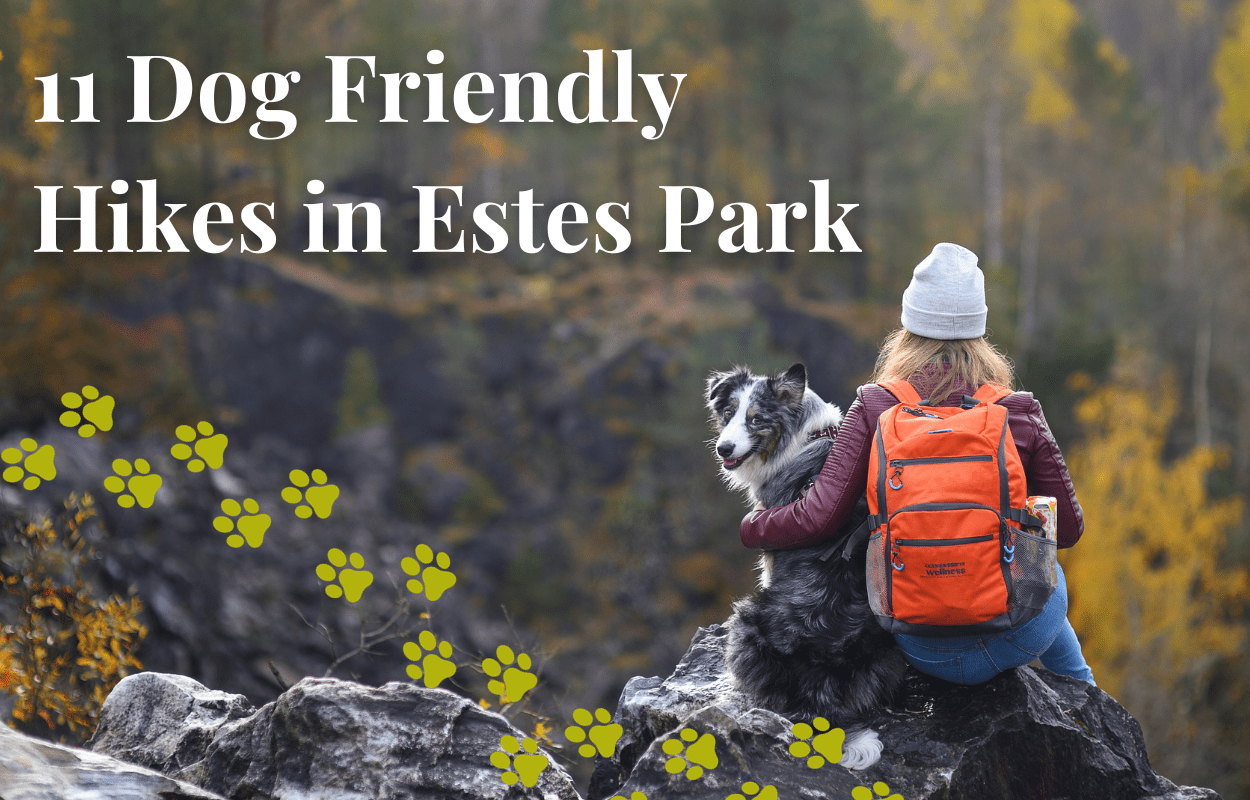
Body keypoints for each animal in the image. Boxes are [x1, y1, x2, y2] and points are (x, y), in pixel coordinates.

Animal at [705, 362, 910, 770]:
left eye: (756, 420)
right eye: (728, 414)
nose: (724, 448)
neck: (801, 439)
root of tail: (820, 676)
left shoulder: (771, 548)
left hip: (744, 621)